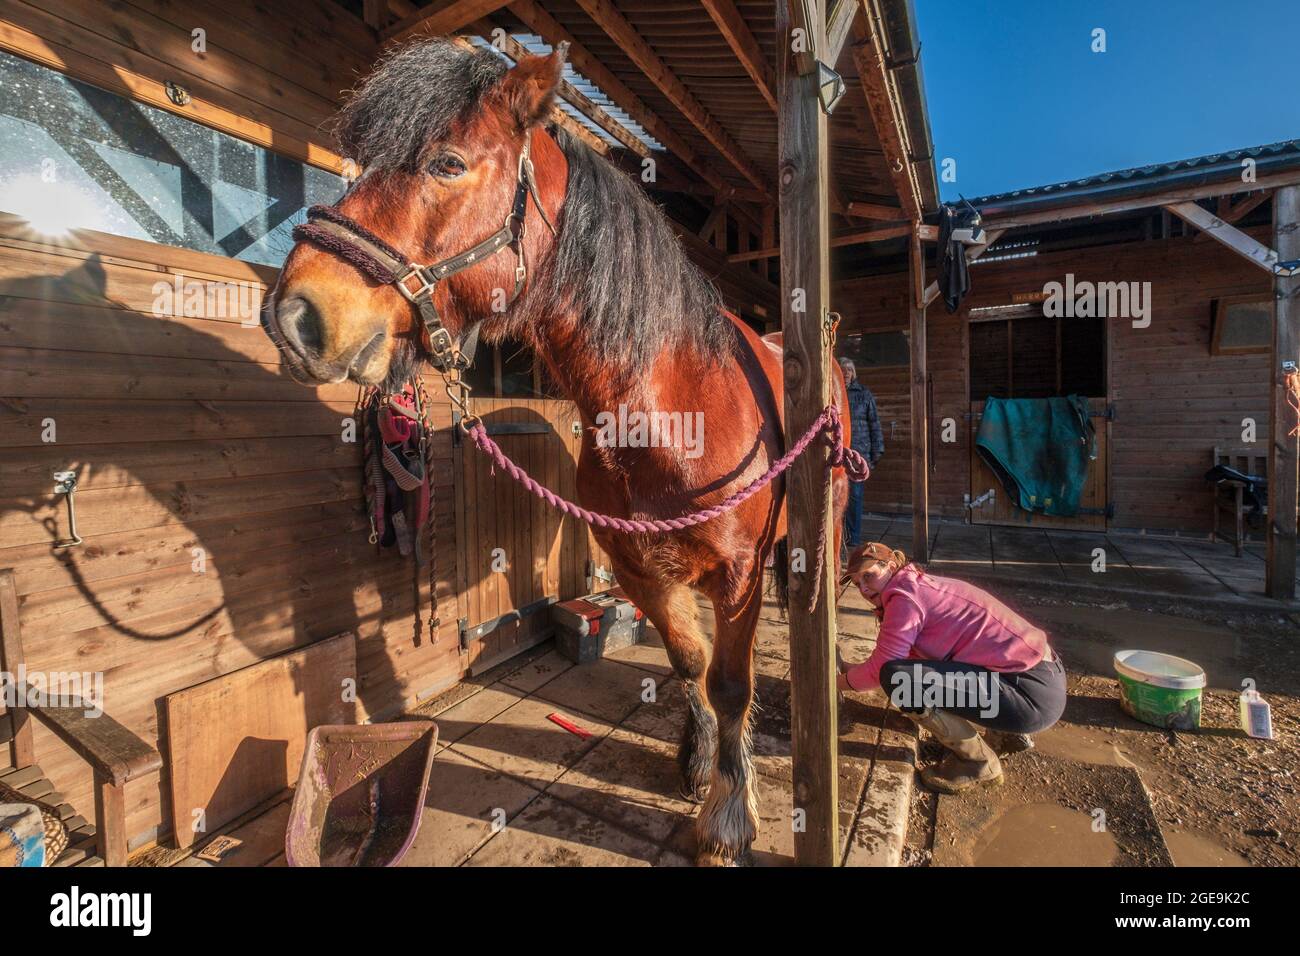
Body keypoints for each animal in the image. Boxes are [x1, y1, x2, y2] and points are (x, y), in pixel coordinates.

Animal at [263, 41, 852, 868]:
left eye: (447, 163)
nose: (296, 315)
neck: (673, 411)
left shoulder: (737, 574)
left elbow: (733, 683)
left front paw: (728, 818)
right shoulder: (639, 568)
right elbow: (691, 663)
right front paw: (699, 759)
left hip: (825, 521)